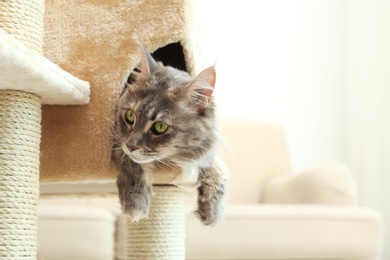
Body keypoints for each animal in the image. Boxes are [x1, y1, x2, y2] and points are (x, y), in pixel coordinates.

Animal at [111, 43, 227, 225]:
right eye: (130, 116)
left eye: (160, 127)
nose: (130, 146)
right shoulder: (116, 140)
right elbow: (132, 164)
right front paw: (136, 203)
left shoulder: (207, 153)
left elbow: (218, 169)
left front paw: (212, 211)